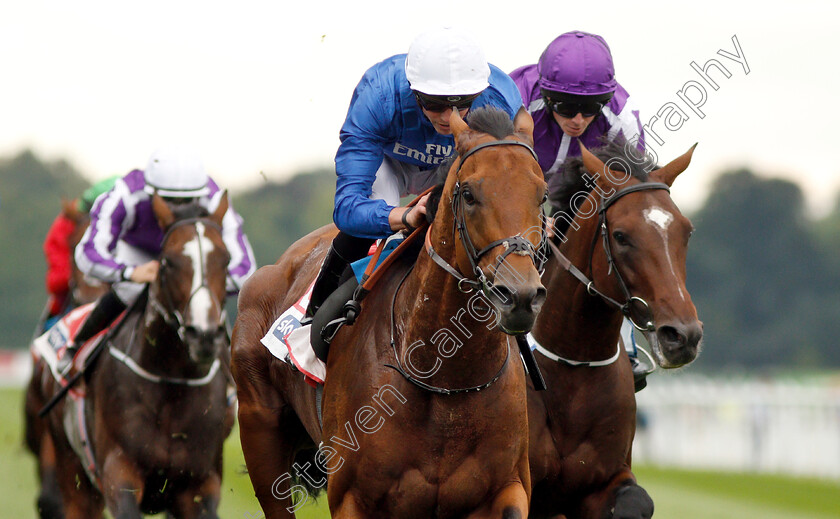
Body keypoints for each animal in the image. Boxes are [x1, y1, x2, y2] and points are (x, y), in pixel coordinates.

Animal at [26, 195, 233, 519]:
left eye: (225, 261)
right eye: (168, 262)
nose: (204, 334)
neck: (172, 382)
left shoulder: (200, 484)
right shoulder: (119, 473)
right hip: (71, 465)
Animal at [231, 106, 544, 519]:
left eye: (541, 195)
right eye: (469, 194)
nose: (520, 296)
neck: (444, 379)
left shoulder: (507, 489)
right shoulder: (353, 498)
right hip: (259, 430)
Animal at [524, 142, 704, 519]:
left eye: (687, 231)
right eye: (621, 236)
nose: (683, 336)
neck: (572, 365)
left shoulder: (605, 478)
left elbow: (635, 502)